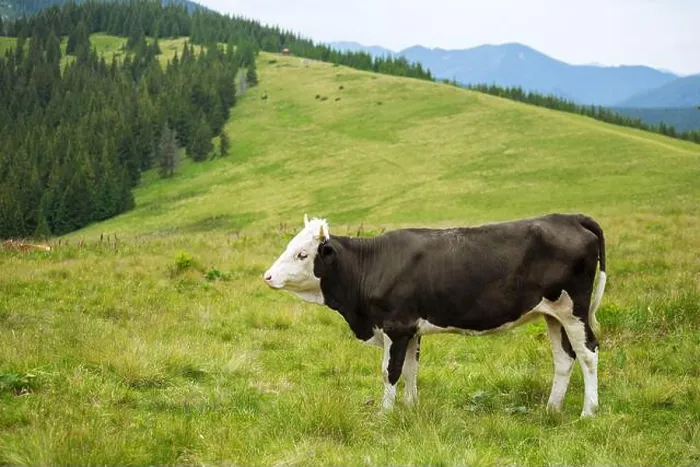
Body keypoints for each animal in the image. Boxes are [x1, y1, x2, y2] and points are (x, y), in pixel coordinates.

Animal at [263, 213, 607, 417]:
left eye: (302, 254)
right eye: (289, 246)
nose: (267, 277)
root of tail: (568, 217)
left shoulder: (396, 326)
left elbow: (390, 371)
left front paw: (385, 415)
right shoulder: (411, 329)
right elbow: (411, 370)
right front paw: (410, 407)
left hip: (573, 310)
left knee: (588, 353)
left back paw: (588, 411)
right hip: (553, 315)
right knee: (564, 358)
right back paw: (552, 409)